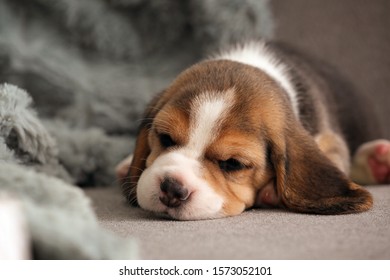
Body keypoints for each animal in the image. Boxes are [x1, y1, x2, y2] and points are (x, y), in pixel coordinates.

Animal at [116, 41, 386, 221]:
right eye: (165, 138)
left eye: (233, 164)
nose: (172, 189)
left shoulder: (330, 139)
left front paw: (272, 192)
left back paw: (377, 159)